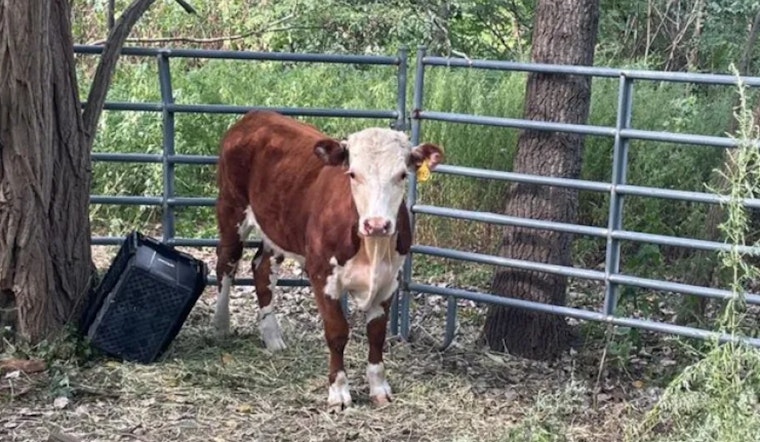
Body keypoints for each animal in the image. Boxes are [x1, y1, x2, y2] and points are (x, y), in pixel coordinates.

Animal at [213, 110, 443, 411]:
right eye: (353, 174)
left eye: (402, 174)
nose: (377, 224)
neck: (372, 247)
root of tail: (256, 116)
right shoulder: (322, 275)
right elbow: (337, 333)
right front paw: (339, 392)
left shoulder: (388, 282)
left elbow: (377, 335)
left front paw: (379, 388)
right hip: (231, 208)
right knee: (226, 262)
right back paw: (221, 324)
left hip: (278, 228)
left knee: (261, 270)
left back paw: (273, 338)